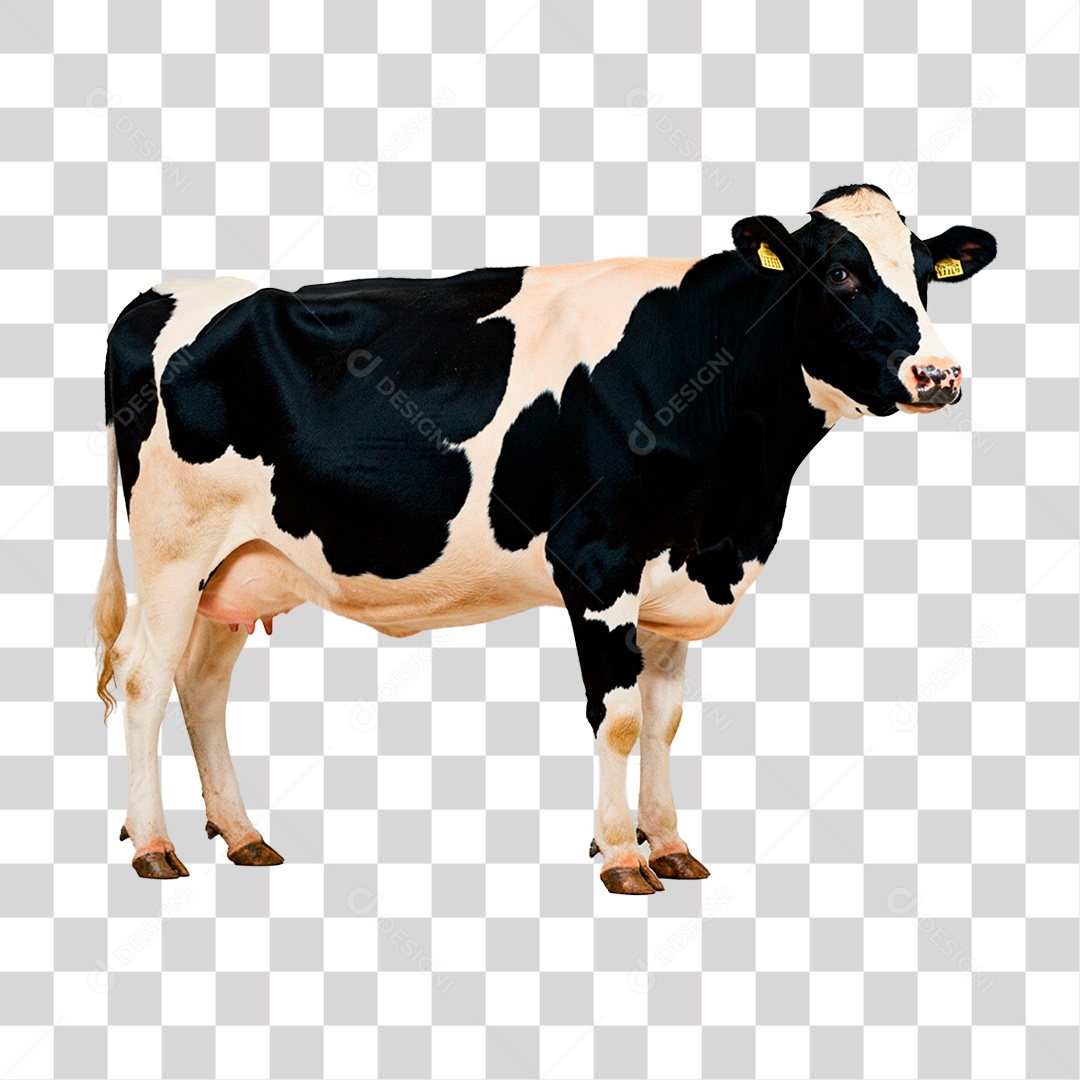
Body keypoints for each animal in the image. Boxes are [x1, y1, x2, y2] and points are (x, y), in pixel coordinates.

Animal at [94, 184, 996, 892]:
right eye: (840, 272)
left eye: (924, 274)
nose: (939, 376)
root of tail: (159, 295)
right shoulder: (599, 565)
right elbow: (620, 718)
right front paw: (622, 857)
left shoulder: (672, 576)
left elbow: (664, 719)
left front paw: (670, 846)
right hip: (175, 550)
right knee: (144, 679)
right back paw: (155, 846)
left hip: (243, 565)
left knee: (202, 685)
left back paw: (242, 835)